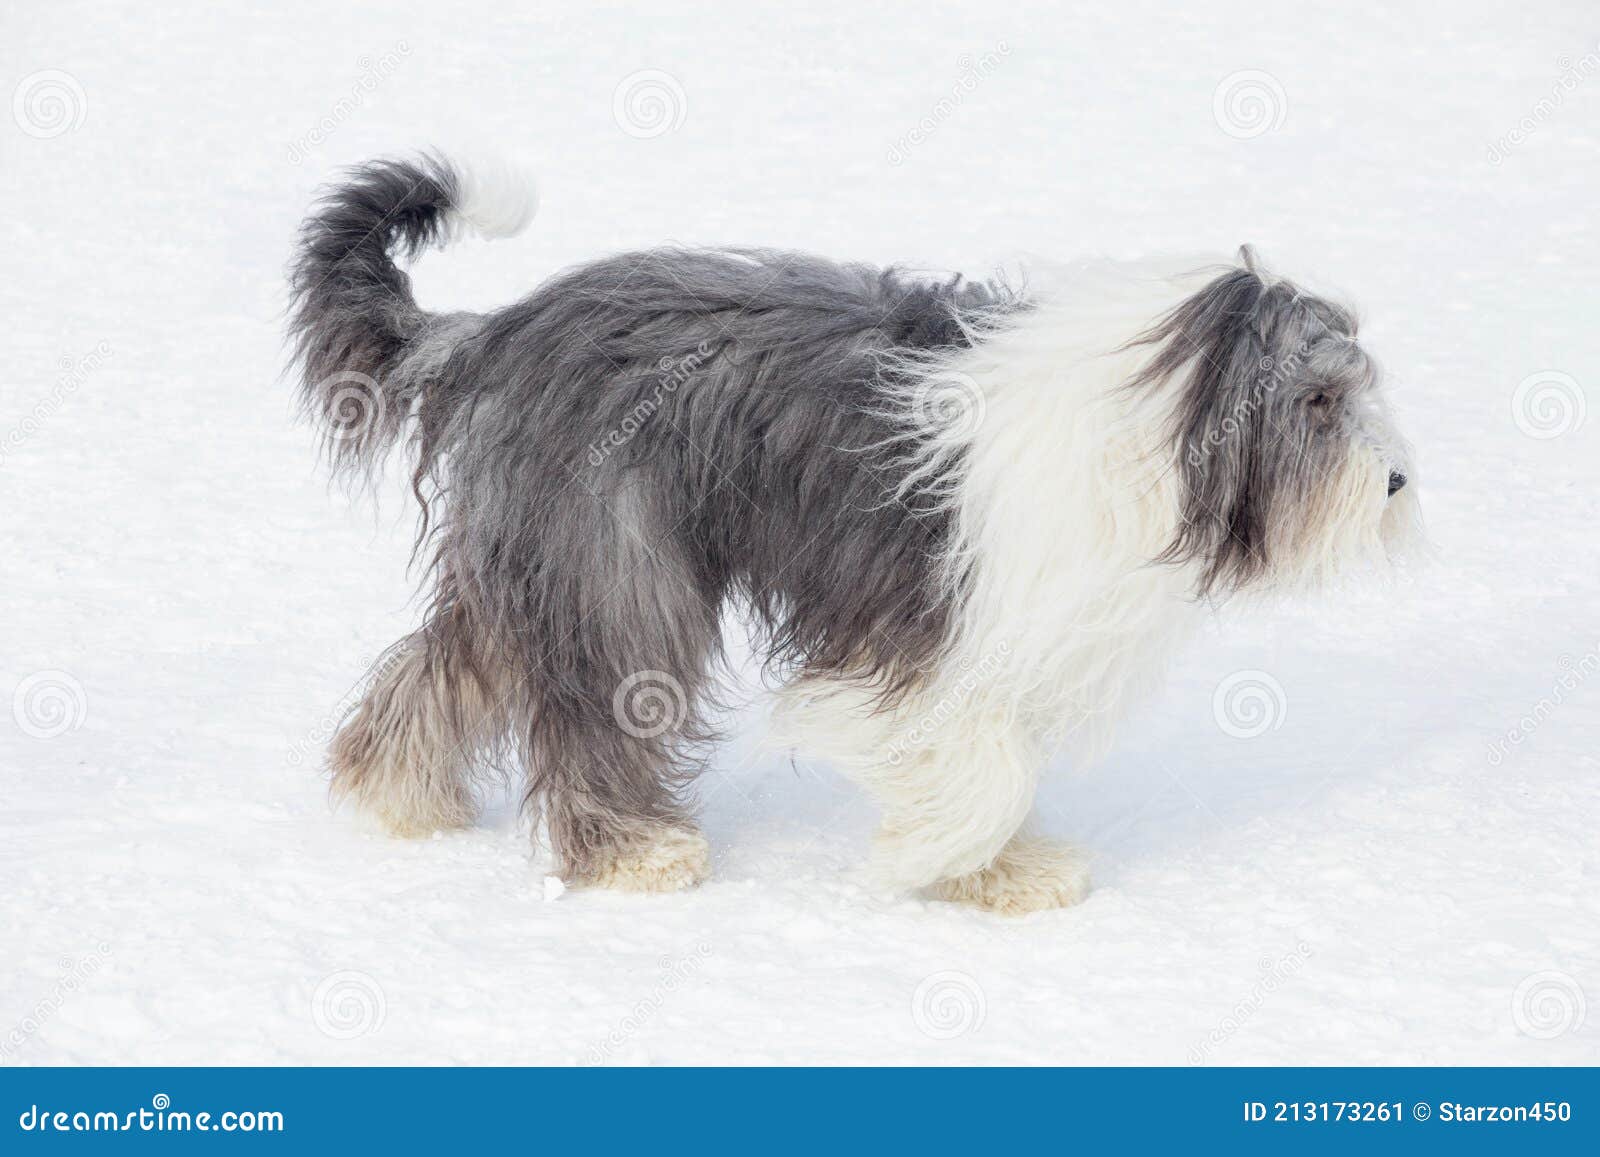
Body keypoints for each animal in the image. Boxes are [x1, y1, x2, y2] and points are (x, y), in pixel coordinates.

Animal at [284, 153, 1414, 915]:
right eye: (1320, 401)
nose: (1400, 482)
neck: (1152, 417)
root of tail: (496, 333)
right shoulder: (920, 632)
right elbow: (975, 762)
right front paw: (934, 857)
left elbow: (990, 752)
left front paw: (995, 870)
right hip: (618, 563)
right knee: (595, 697)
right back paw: (638, 853)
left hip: (539, 552)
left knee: (449, 661)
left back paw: (394, 797)